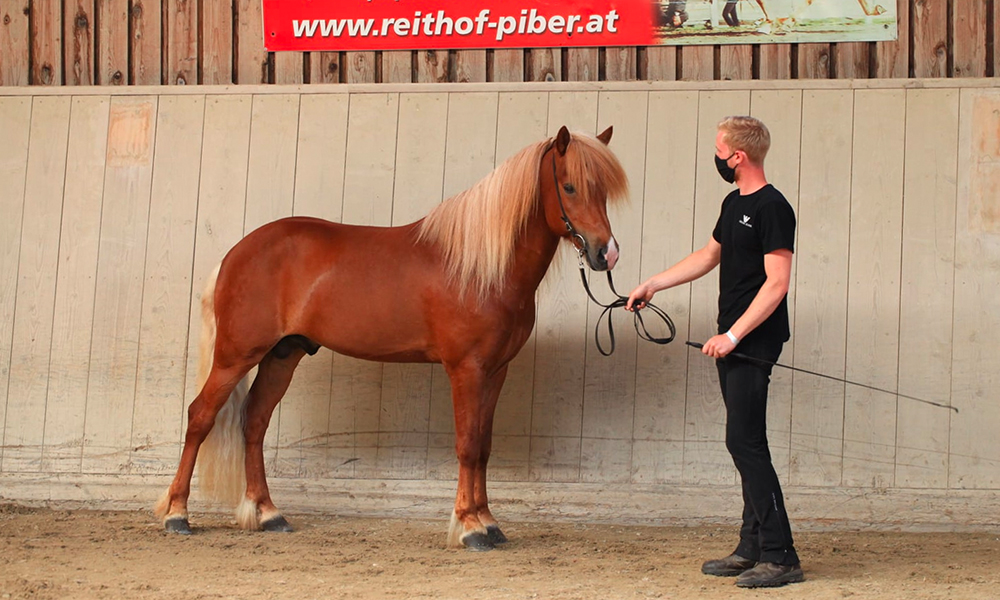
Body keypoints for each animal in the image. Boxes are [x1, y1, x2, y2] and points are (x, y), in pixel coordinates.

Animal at [153, 124, 628, 552]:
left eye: (603, 191)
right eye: (569, 186)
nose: (606, 253)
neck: (479, 267)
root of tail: (237, 252)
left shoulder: (496, 371)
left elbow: (484, 447)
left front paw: (490, 523)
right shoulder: (466, 370)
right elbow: (468, 445)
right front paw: (469, 528)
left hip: (282, 355)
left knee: (254, 421)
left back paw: (268, 514)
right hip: (236, 355)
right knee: (200, 417)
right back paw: (177, 515)